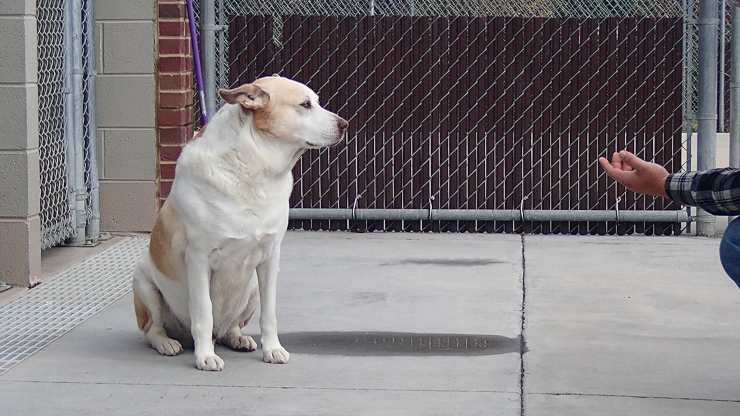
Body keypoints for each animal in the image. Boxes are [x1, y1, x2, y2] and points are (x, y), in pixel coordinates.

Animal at [132, 75, 346, 370]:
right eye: (305, 104)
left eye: (316, 101)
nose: (344, 124)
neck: (252, 166)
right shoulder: (198, 259)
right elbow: (204, 313)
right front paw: (205, 357)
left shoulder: (270, 259)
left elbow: (269, 315)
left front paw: (273, 349)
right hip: (144, 283)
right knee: (153, 329)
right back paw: (168, 343)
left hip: (252, 287)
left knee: (228, 328)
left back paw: (238, 339)